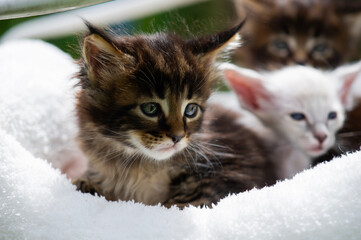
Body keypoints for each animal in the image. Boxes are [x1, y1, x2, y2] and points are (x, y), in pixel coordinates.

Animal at [73, 21, 274, 208]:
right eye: (150, 109)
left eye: (191, 109)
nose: (178, 137)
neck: (138, 167)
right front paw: (85, 184)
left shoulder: (234, 166)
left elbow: (189, 200)